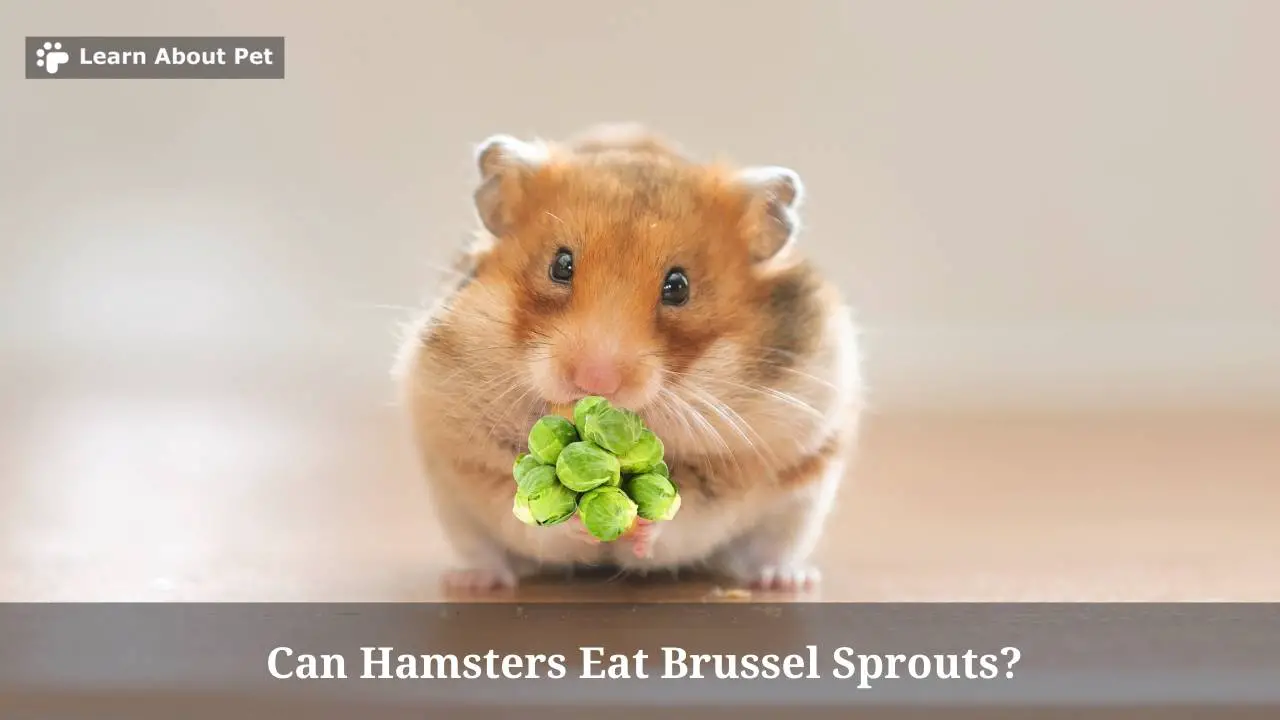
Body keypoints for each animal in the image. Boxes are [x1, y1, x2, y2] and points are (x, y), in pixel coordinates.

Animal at [393, 124, 864, 593]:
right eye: (560, 265)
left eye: (679, 286)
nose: (595, 381)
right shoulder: (466, 453)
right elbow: (526, 513)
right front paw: (581, 526)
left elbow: (685, 515)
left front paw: (641, 526)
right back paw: (472, 581)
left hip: (801, 504)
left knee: (766, 552)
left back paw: (786, 580)